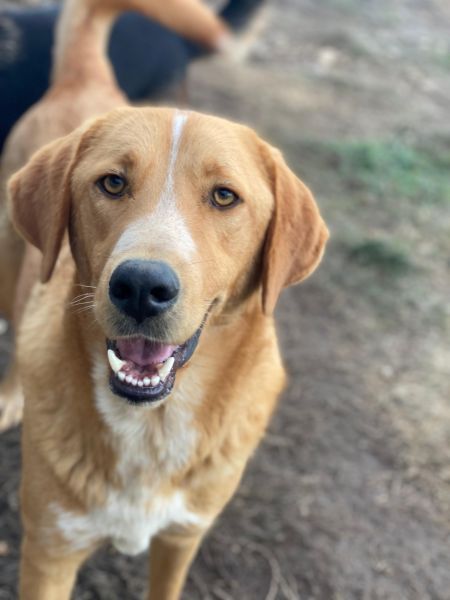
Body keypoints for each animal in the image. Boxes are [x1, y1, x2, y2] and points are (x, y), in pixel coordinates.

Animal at [3, 1, 328, 598]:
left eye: (224, 196)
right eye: (111, 183)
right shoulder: (48, 553)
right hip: (9, 258)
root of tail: (90, 78)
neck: (151, 424)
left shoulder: (182, 538)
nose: (140, 287)